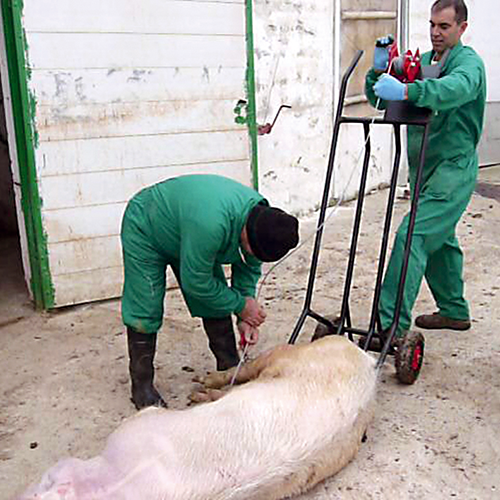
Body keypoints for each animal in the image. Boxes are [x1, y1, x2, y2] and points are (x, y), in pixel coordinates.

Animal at [16, 336, 376, 500]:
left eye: (46, 479)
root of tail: (364, 356)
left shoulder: (139, 427)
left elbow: (148, 412)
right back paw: (198, 394)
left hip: (291, 353)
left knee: (248, 367)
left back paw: (201, 386)